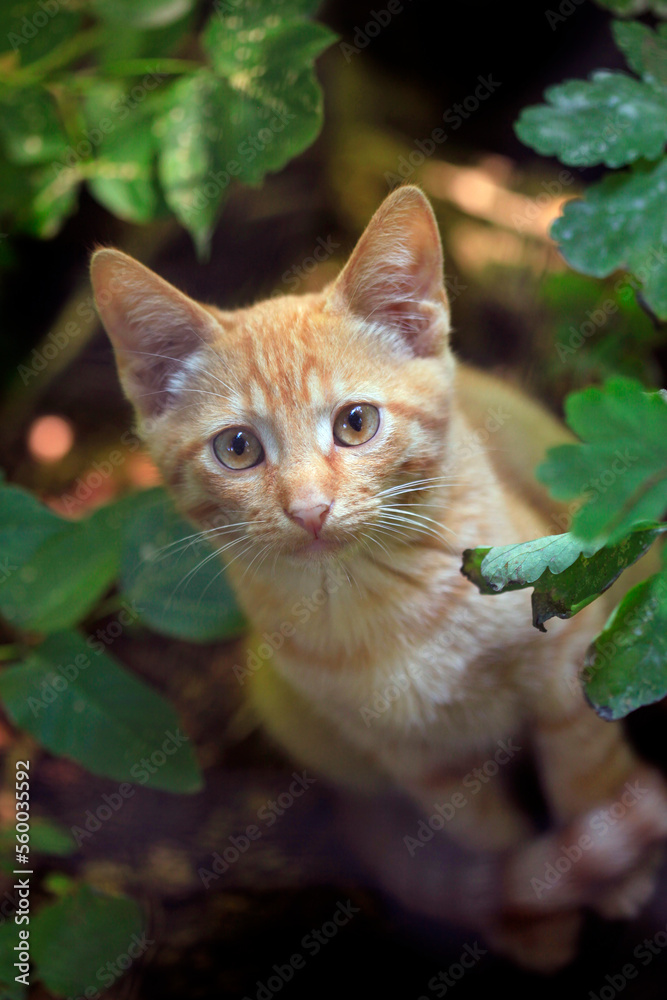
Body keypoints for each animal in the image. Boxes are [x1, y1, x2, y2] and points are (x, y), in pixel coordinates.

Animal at [91, 186, 667, 968]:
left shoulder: (570, 654)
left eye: (356, 423)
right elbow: (488, 836)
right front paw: (533, 920)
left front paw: (617, 875)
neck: (381, 597)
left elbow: (586, 771)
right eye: (237, 448)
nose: (308, 509)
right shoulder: (421, 763)